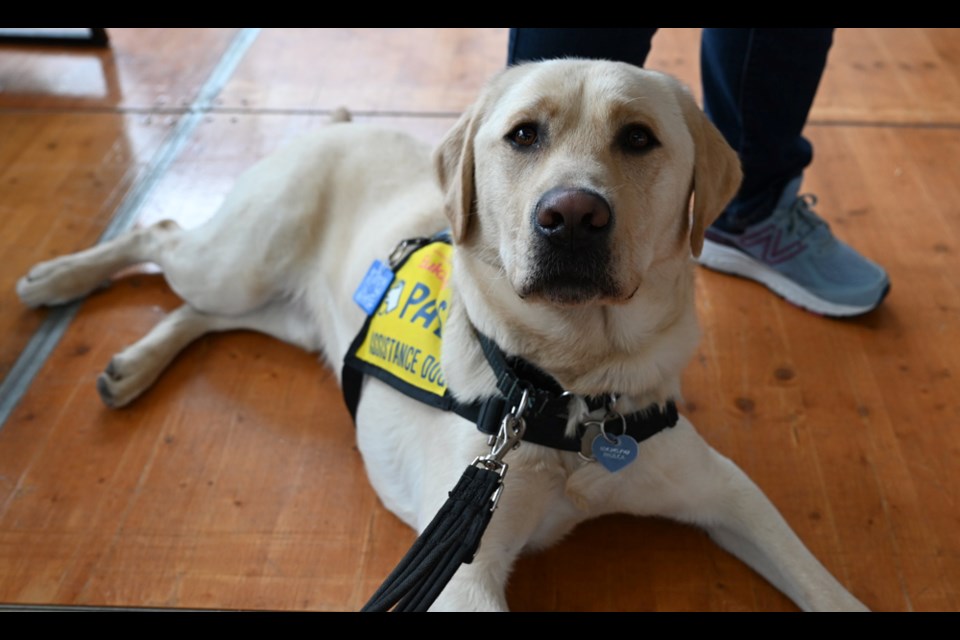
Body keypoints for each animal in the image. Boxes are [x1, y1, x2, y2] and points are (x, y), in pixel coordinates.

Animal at [15, 58, 872, 608]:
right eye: (523, 136)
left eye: (638, 138)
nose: (571, 216)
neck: (568, 392)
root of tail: (336, 123)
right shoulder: (462, 569)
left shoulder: (727, 491)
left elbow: (826, 587)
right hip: (236, 261)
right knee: (158, 234)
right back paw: (56, 278)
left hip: (288, 312)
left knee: (201, 309)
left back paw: (132, 363)